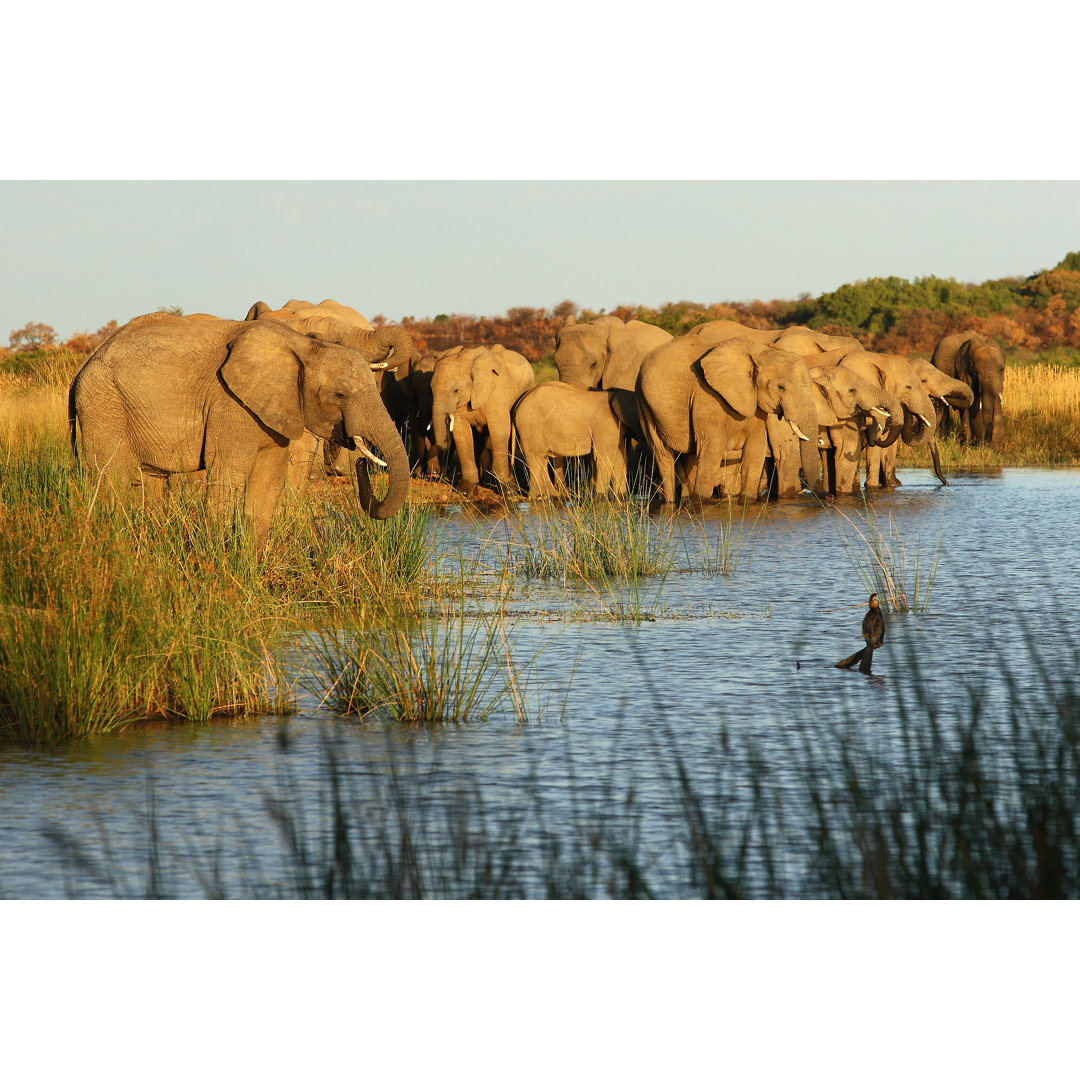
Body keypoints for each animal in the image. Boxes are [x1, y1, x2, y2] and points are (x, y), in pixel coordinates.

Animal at [67, 313, 410, 548]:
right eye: (340, 395)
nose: (362, 461)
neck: (301, 344)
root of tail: (83, 365)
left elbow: (268, 480)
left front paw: (251, 568)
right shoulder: (229, 402)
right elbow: (228, 474)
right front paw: (218, 561)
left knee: (151, 481)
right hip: (103, 405)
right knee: (112, 479)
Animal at [425, 341, 535, 494]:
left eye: (456, 390)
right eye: (431, 389)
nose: (434, 474)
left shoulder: (496, 393)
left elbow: (499, 430)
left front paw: (509, 490)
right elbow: (461, 433)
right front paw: (466, 491)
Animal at [511, 382, 639, 498]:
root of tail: (520, 401)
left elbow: (620, 458)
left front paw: (620, 497)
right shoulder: (606, 425)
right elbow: (605, 457)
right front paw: (601, 498)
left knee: (542, 459)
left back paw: (552, 495)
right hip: (531, 426)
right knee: (535, 457)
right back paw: (537, 497)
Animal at [635, 336, 820, 505]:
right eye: (781, 387)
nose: (825, 498)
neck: (760, 353)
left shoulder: (755, 404)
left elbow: (756, 448)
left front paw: (746, 503)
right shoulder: (707, 396)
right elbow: (712, 448)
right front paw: (701, 504)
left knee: (689, 459)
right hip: (644, 404)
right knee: (663, 456)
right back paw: (671, 503)